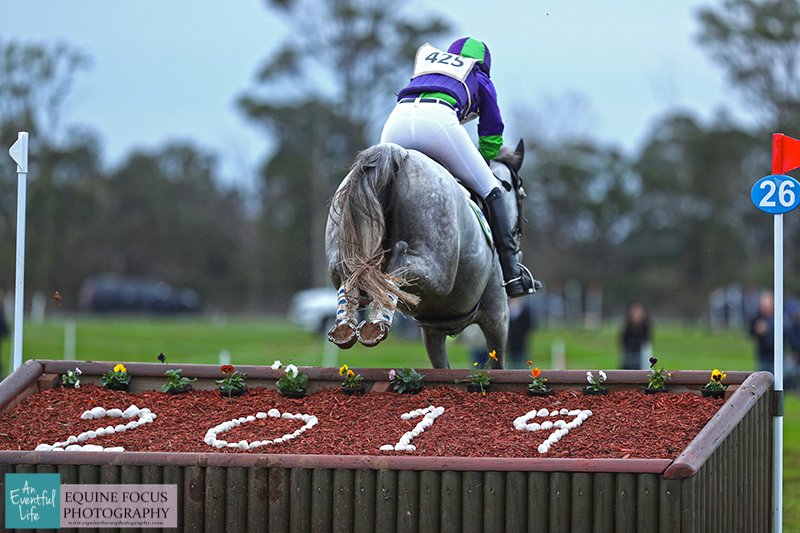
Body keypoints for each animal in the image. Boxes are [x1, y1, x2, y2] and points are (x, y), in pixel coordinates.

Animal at [322, 139, 528, 368]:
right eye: (521, 194)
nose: (518, 251)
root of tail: (398, 153)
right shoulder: (498, 314)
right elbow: (497, 362)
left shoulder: (432, 330)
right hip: (436, 271)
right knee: (399, 262)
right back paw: (378, 320)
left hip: (341, 254)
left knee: (348, 275)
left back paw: (346, 325)